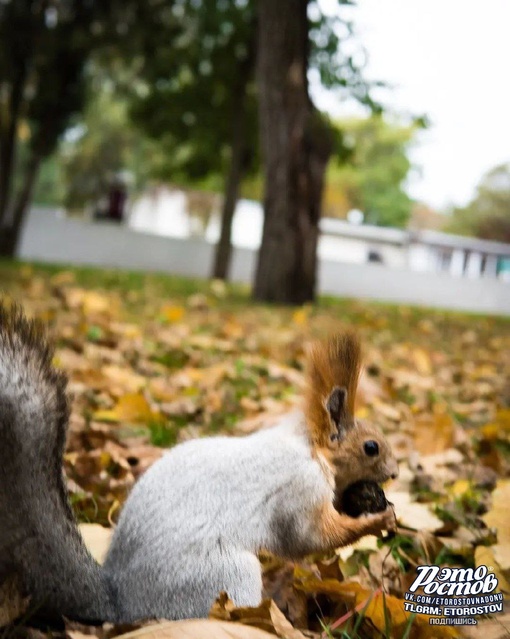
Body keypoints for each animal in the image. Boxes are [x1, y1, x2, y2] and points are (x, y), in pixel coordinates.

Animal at [0, 304, 398, 624]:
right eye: (371, 447)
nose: (395, 473)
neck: (310, 450)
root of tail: (123, 602)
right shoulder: (298, 490)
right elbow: (308, 537)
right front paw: (377, 520)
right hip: (225, 574)